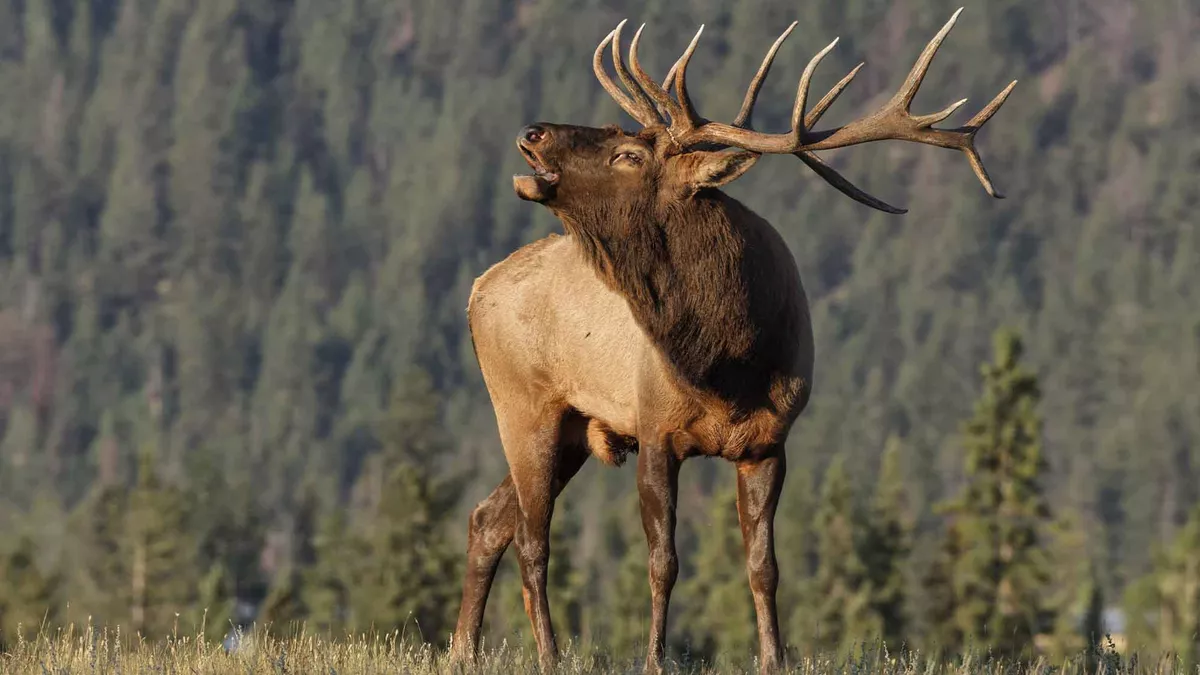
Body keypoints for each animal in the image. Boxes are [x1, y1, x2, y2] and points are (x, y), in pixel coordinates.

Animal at [450, 9, 1015, 674]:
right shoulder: (656, 429)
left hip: (571, 429)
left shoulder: (770, 441)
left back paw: (463, 651)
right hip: (524, 405)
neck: (728, 363)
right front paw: (655, 659)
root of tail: (476, 290)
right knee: (533, 540)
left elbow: (763, 565)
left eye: (627, 152)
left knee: (491, 519)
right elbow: (662, 563)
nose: (531, 131)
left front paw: (775, 659)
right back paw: (549, 656)